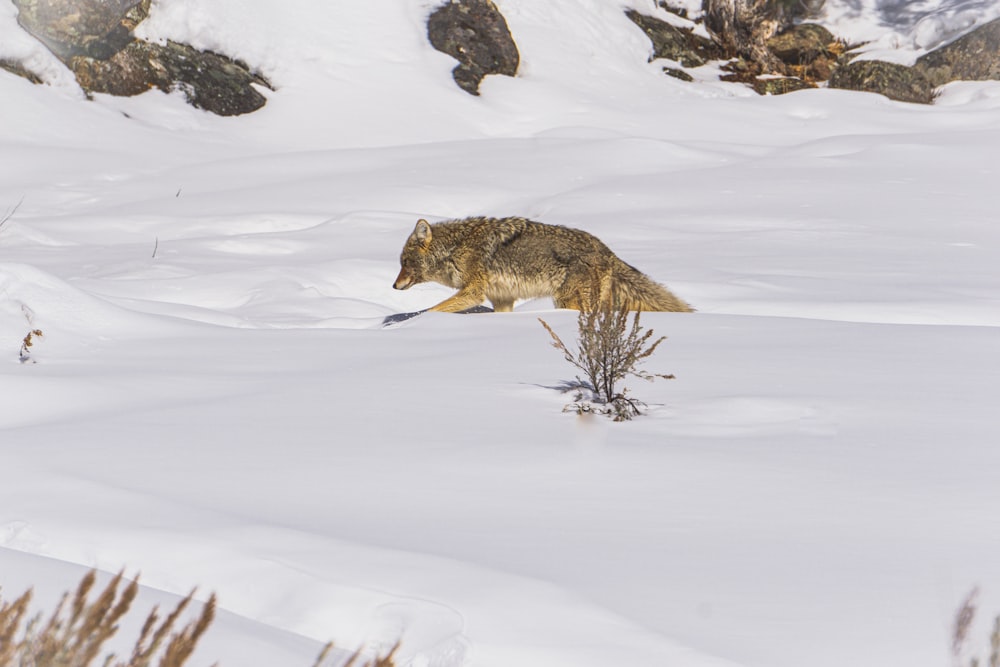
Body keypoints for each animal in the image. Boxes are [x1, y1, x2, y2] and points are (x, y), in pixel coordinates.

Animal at [392, 217, 696, 316]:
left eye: (405, 263)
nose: (394, 286)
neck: (456, 248)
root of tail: (607, 251)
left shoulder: (473, 292)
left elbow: (432, 309)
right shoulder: (502, 299)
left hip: (566, 300)